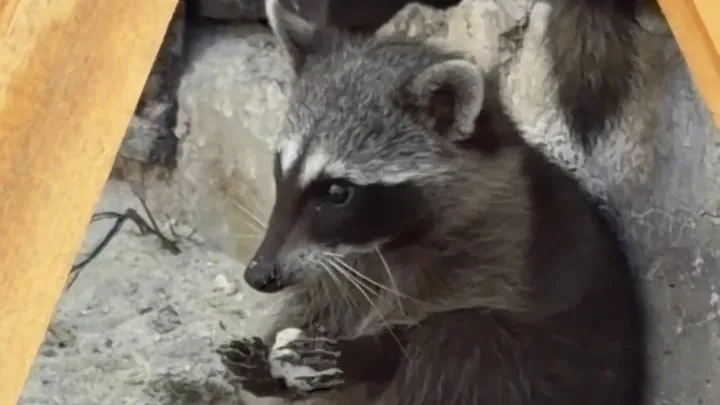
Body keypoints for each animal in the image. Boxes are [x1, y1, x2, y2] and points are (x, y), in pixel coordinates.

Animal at [217, 0, 648, 404]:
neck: (380, 245)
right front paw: (270, 366)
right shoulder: (331, 266)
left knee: (460, 341)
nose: (258, 275)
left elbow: (448, 329)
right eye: (280, 169)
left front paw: (369, 351)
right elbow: (312, 297)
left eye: (338, 192)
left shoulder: (500, 251)